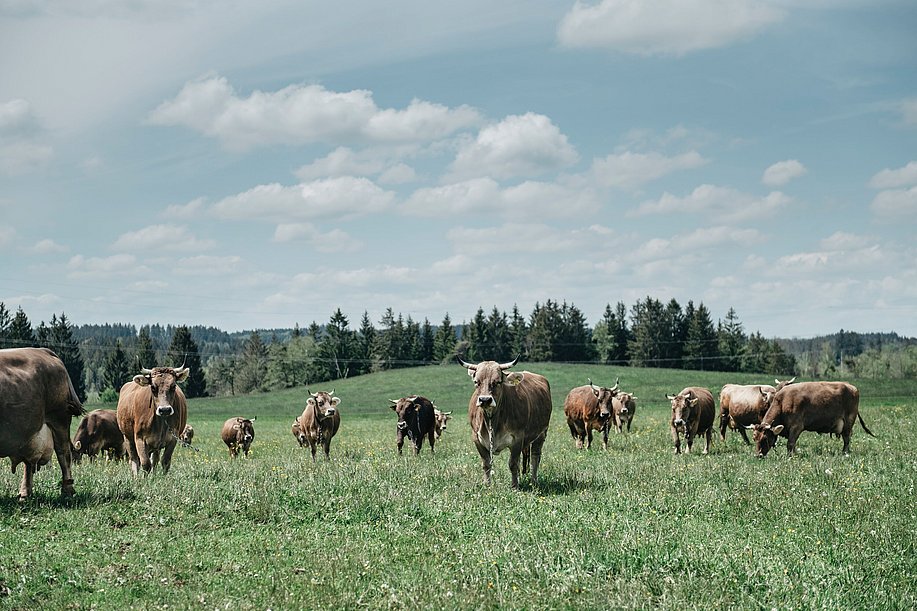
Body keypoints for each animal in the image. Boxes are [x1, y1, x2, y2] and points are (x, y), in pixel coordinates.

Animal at [0, 346, 82, 500]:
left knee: (64, 454)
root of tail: (42, 350)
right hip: (28, 430)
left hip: (59, 418)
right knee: (29, 462)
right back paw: (25, 494)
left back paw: (67, 491)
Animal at [744, 380, 872, 456]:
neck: (782, 403)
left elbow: (790, 443)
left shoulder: (796, 427)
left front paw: (790, 456)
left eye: (765, 438)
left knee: (846, 439)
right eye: (754, 438)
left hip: (848, 422)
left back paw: (845, 453)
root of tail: (851, 386)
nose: (758, 455)